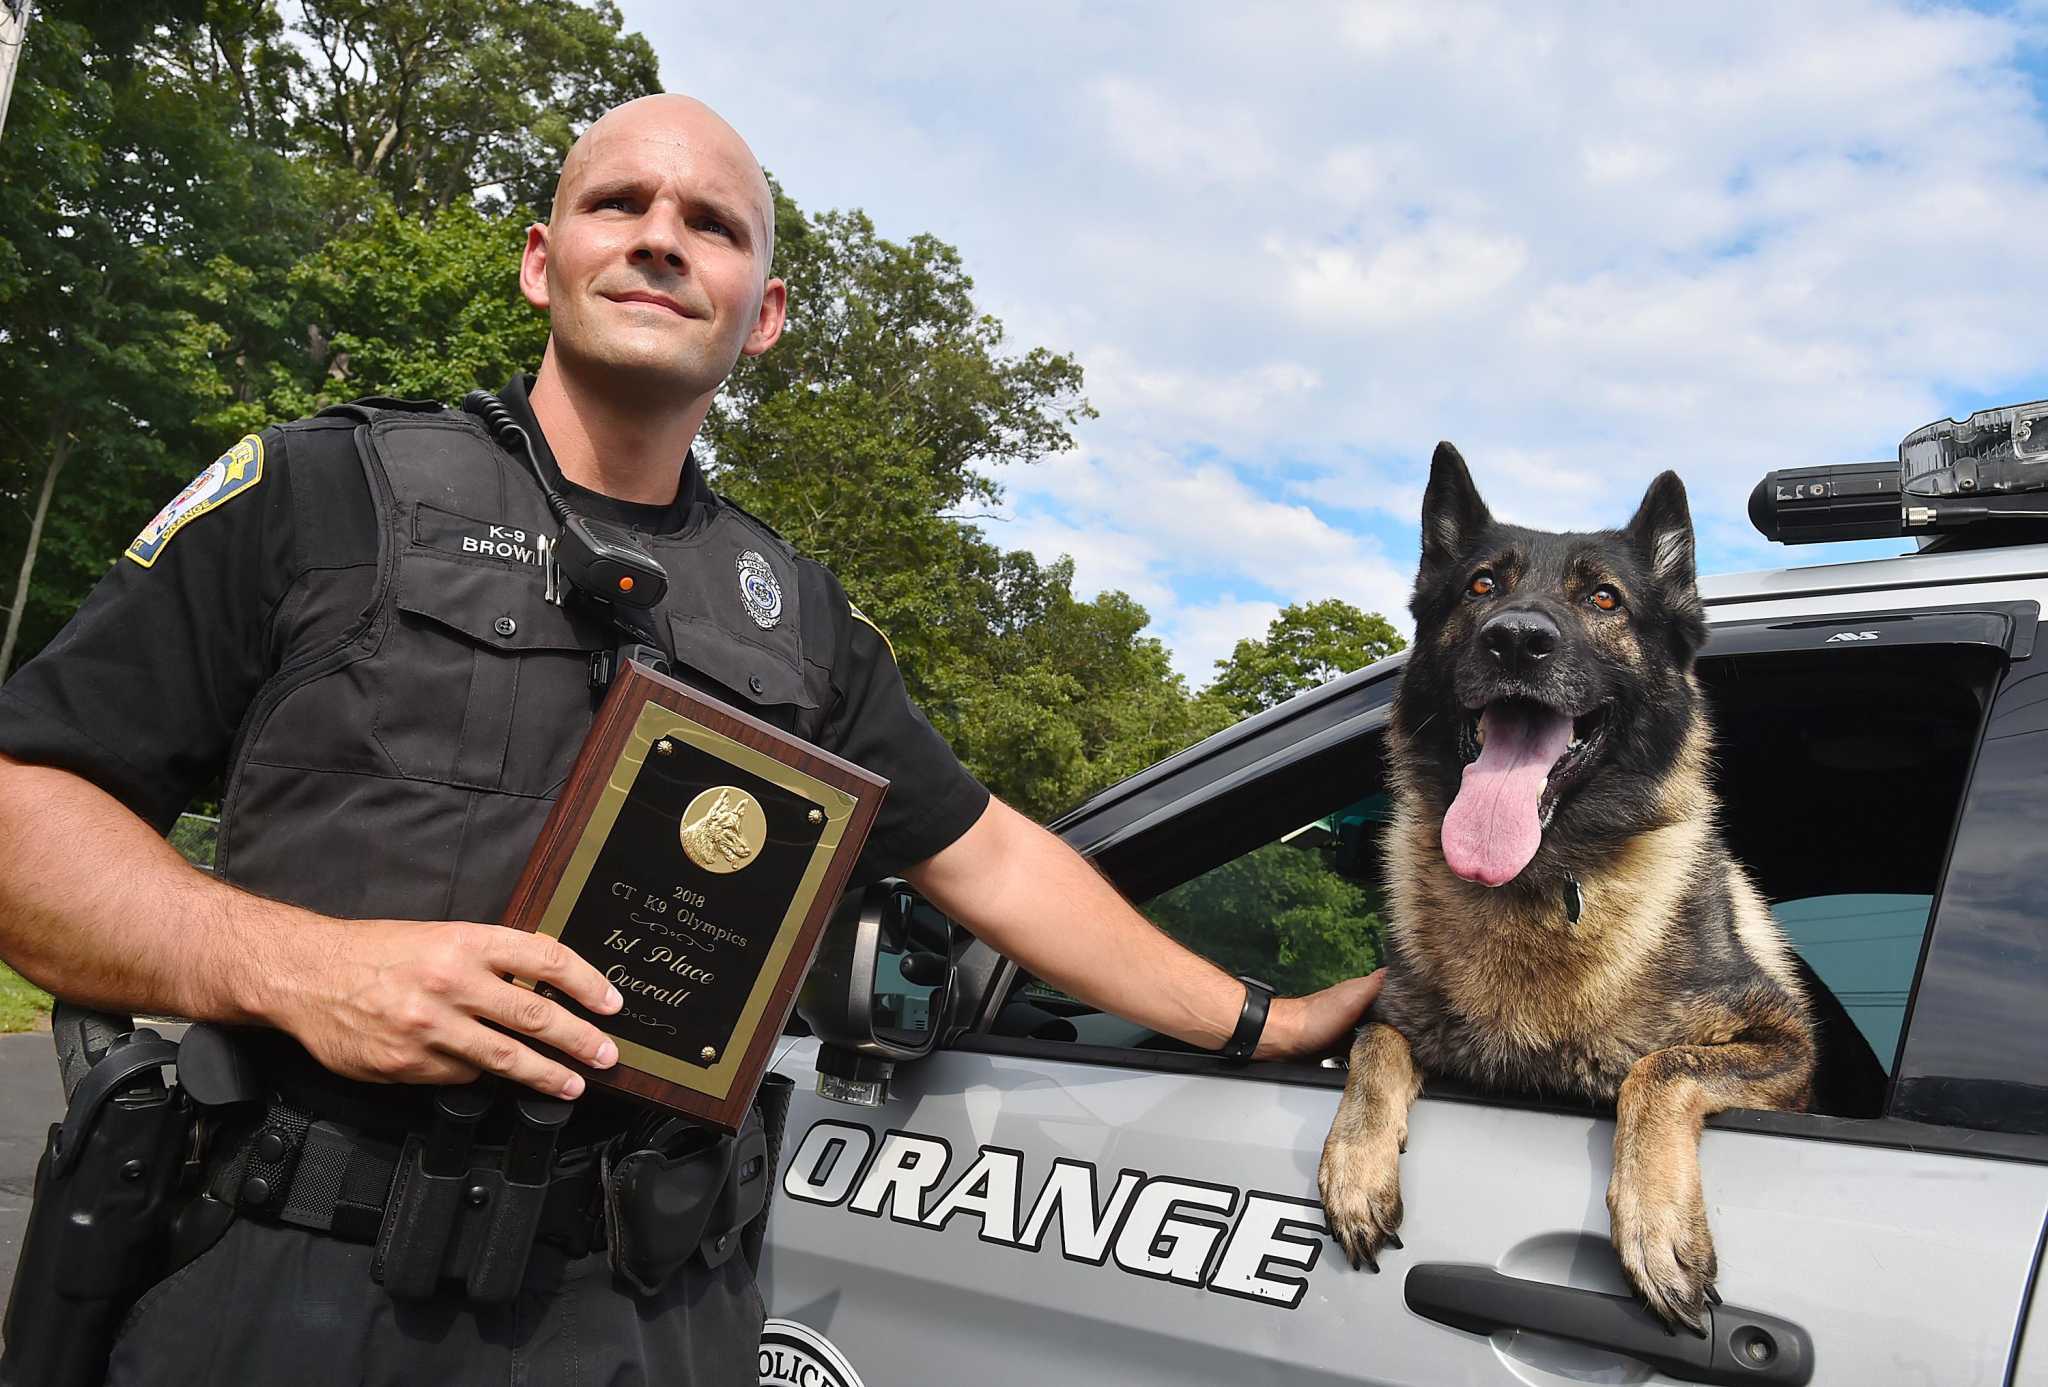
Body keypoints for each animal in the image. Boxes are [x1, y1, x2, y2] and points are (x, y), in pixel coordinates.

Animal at [1318, 444, 1818, 1327]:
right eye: (1481, 586)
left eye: (1604, 598)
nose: (1517, 640)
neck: (1539, 879)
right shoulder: (1406, 1021)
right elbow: (1374, 1038)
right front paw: (1353, 1165)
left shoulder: (1788, 1047)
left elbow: (1661, 1069)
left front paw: (1655, 1223)